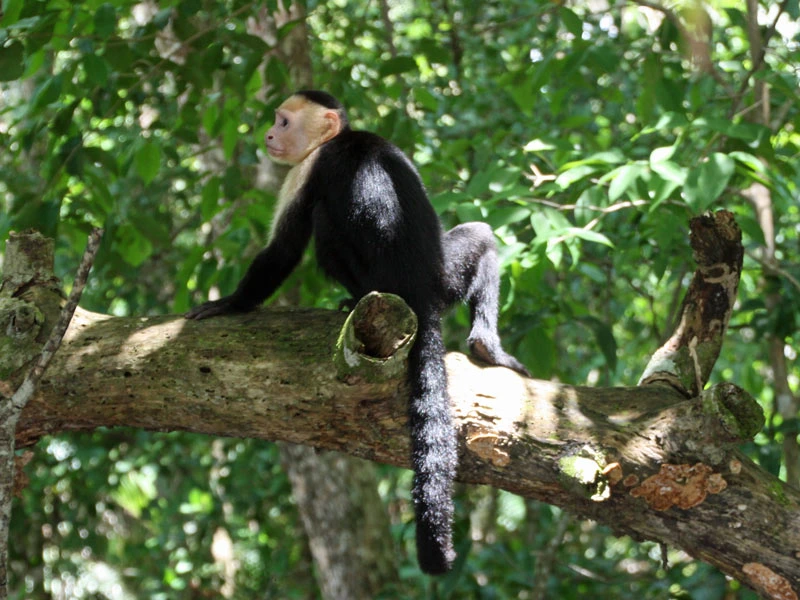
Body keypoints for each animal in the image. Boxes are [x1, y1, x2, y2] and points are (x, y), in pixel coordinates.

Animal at [185, 90, 529, 575]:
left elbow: (284, 248)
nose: (268, 135)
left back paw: (355, 299)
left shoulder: (310, 167)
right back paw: (487, 347)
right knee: (481, 235)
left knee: (325, 228)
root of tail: (418, 296)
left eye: (283, 122)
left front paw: (229, 303)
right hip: (445, 278)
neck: (339, 138)